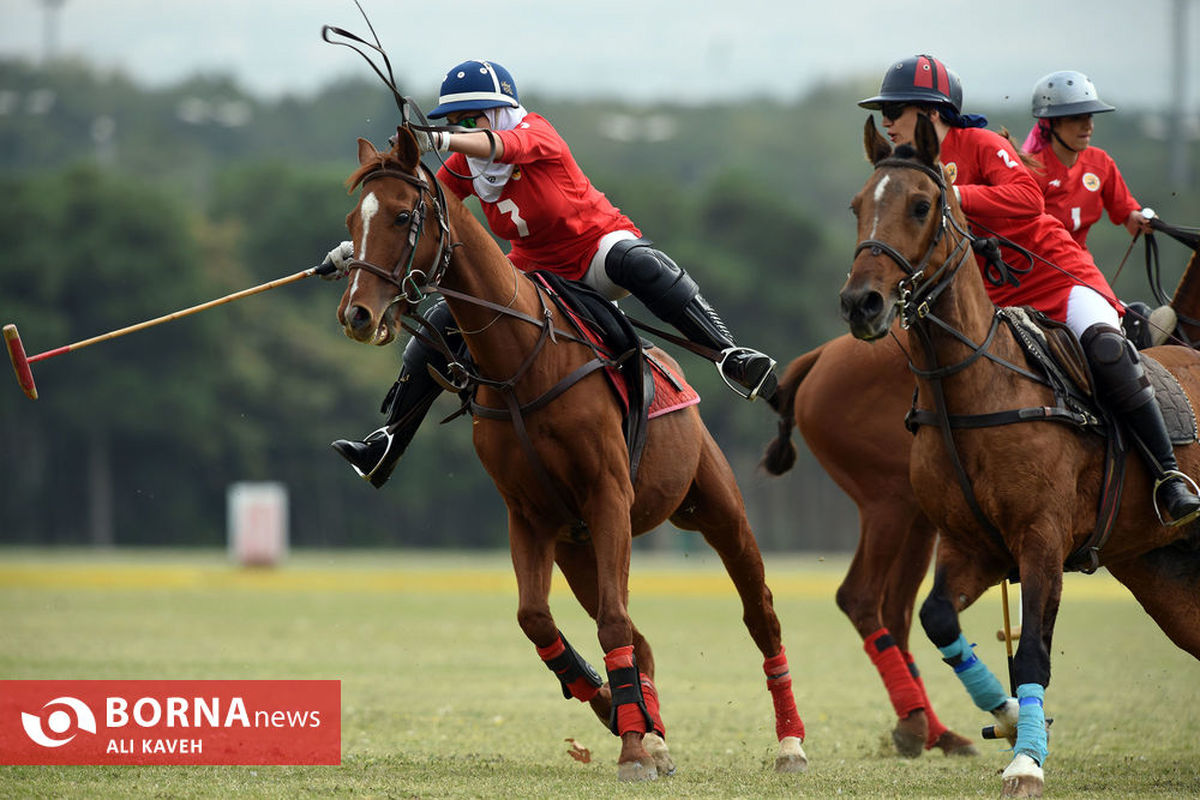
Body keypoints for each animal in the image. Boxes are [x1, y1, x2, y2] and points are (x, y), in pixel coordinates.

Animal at [333, 130, 811, 782]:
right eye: (352, 221)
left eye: (405, 215)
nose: (357, 314)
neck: (521, 362)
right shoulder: (530, 515)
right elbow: (538, 620)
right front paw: (616, 713)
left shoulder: (608, 495)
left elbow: (612, 622)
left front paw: (632, 750)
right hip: (577, 548)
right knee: (639, 634)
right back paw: (651, 729)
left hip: (716, 509)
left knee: (759, 613)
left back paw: (789, 743)